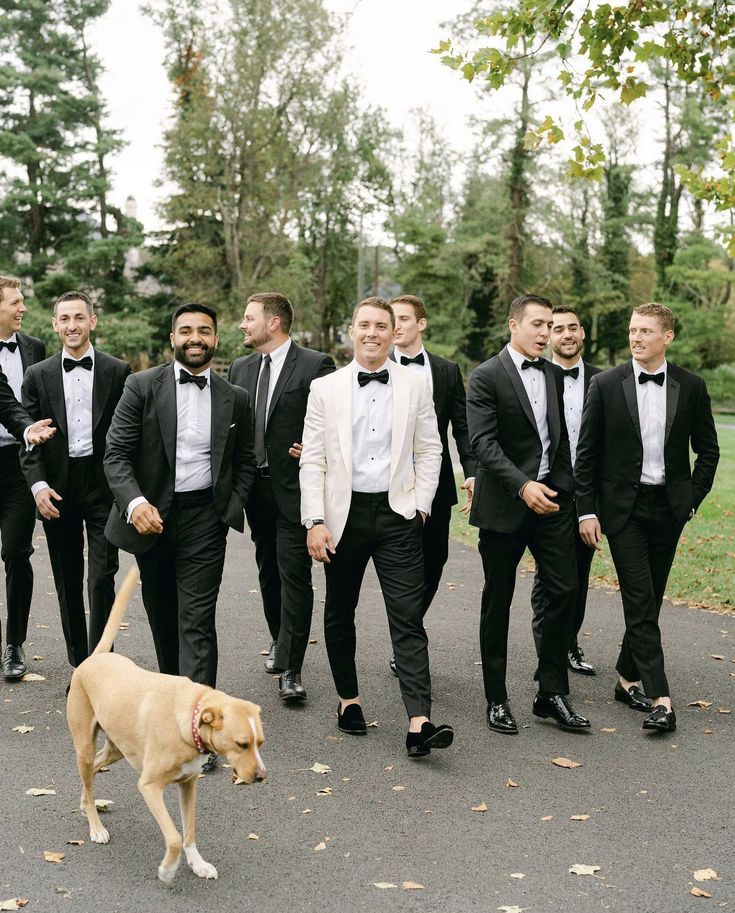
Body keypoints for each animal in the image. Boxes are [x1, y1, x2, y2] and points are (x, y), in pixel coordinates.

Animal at [67, 568, 266, 880]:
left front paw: (197, 863)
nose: (261, 776)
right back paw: (96, 827)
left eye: (260, 743)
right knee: (88, 776)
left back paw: (85, 802)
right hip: (85, 746)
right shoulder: (149, 787)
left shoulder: (188, 785)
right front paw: (168, 868)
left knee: (93, 774)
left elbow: (189, 831)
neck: (189, 718)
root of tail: (96, 657)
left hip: (116, 749)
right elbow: (173, 836)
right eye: (241, 744)